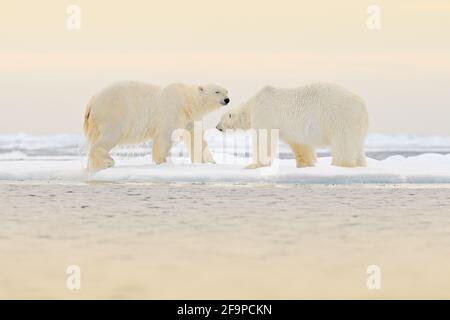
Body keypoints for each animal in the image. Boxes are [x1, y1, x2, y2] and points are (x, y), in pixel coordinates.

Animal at [84, 81, 230, 171]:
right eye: (217, 92)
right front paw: (163, 161)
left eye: (226, 91)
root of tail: (91, 102)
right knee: (109, 136)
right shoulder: (171, 112)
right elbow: (164, 136)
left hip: (96, 123)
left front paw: (209, 162)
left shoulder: (190, 119)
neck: (187, 102)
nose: (227, 100)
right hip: (114, 113)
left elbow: (196, 138)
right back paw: (108, 161)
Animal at [217, 82, 370, 169]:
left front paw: (254, 165)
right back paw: (360, 164)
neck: (251, 105)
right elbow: (299, 144)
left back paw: (340, 164)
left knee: (343, 143)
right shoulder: (290, 130)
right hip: (355, 124)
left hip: (340, 117)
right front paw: (304, 164)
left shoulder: (264, 114)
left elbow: (264, 140)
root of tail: (362, 104)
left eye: (221, 119)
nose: (217, 127)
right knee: (356, 145)